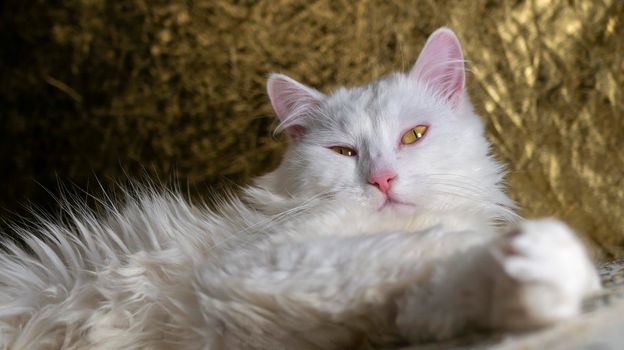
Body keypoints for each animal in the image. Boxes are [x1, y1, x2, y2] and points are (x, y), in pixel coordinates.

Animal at [0, 27, 600, 350]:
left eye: (413, 136)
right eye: (343, 153)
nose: (381, 179)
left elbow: (441, 286)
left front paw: (535, 282)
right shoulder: (256, 264)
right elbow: (407, 250)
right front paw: (550, 256)